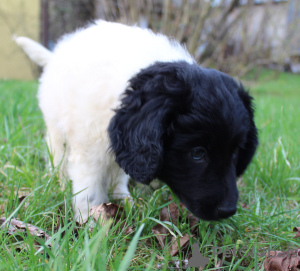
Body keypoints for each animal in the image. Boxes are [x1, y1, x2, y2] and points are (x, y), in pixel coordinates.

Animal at [15, 19, 258, 223]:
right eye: (197, 153)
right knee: (56, 154)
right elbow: (89, 188)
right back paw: (57, 180)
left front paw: (122, 204)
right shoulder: (89, 147)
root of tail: (56, 54)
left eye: (235, 152)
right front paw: (90, 224)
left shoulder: (121, 143)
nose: (228, 211)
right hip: (56, 126)